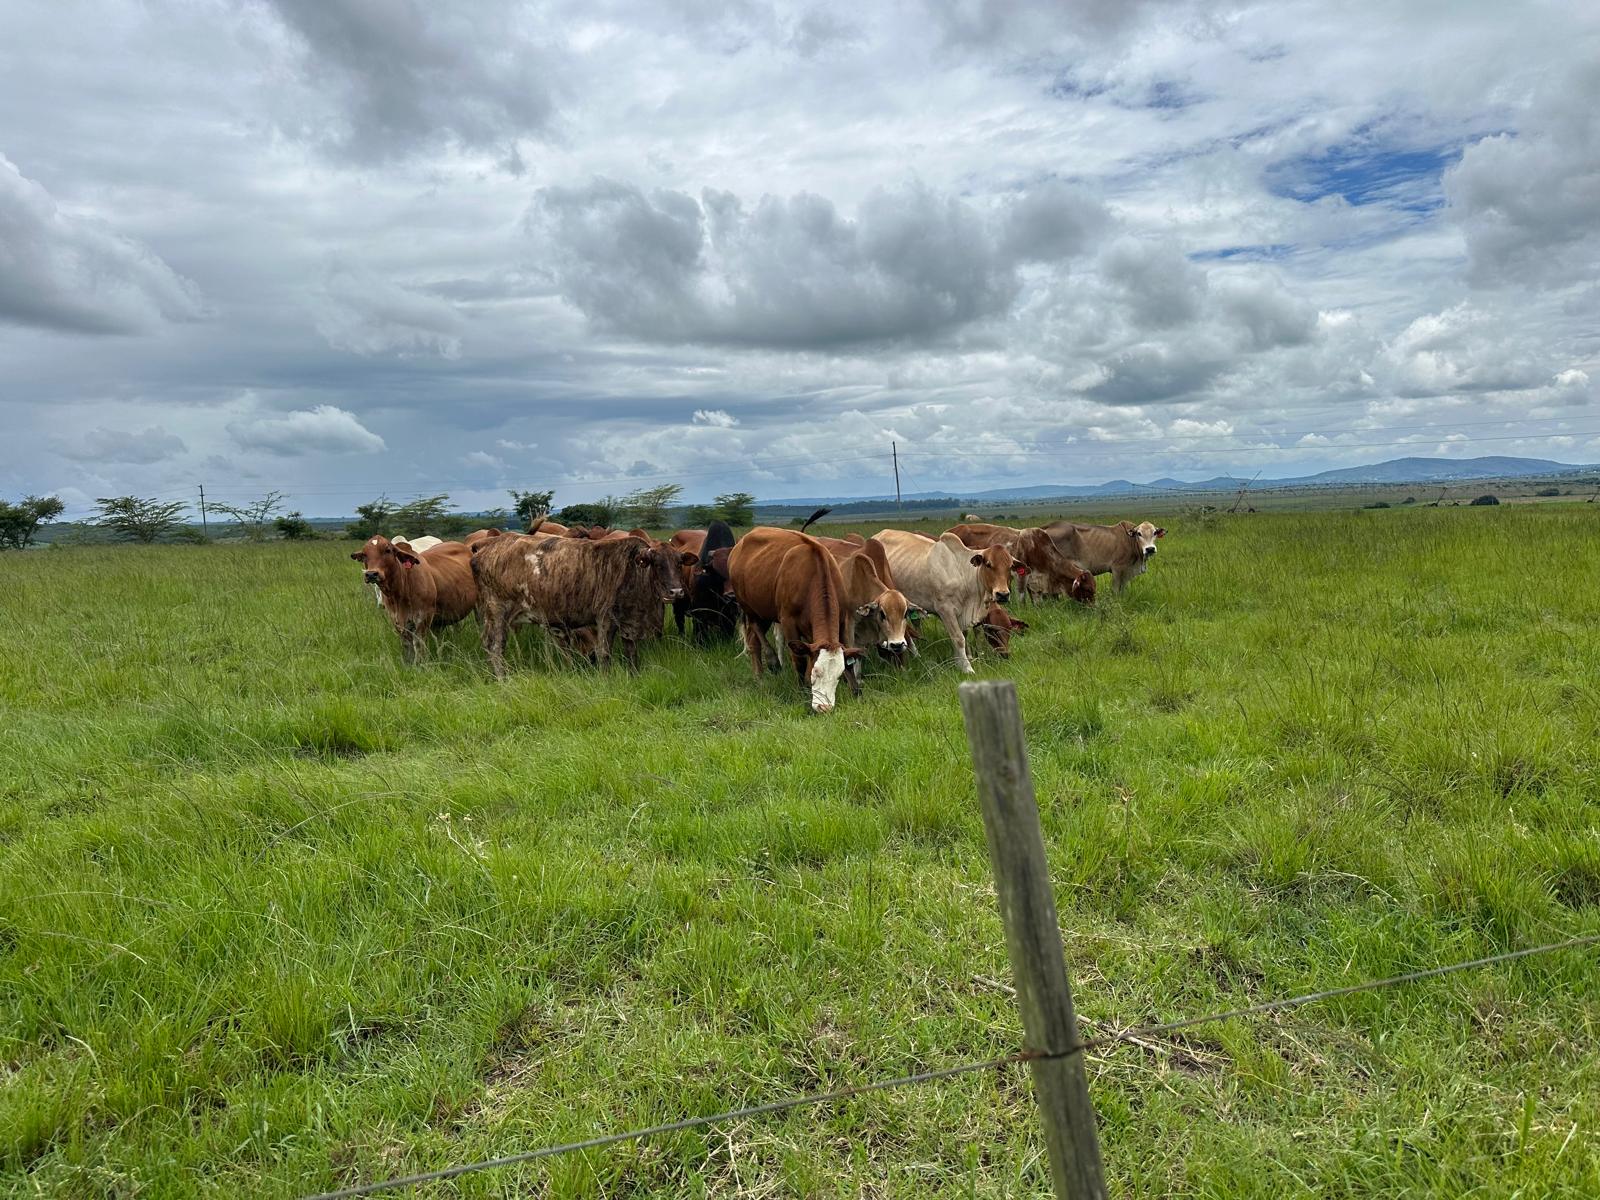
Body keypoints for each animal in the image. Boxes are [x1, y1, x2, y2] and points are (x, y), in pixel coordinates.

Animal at [471, 533, 685, 677]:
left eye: (679, 564)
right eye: (657, 564)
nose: (676, 591)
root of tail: (484, 549)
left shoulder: (629, 623)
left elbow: (631, 652)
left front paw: (634, 676)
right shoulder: (605, 617)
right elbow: (604, 653)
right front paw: (606, 680)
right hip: (496, 612)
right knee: (495, 646)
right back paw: (502, 678)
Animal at [727, 527, 863, 714]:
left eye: (838, 675)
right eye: (816, 672)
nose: (824, 708)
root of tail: (742, 540)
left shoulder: (842, 619)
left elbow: (848, 655)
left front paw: (855, 690)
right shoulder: (788, 622)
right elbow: (799, 660)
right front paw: (801, 691)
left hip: (764, 610)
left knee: (754, 641)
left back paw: (759, 676)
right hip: (748, 606)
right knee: (755, 627)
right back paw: (770, 663)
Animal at [874, 530, 1018, 673]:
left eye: (1010, 566)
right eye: (988, 564)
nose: (1003, 594)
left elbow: (966, 634)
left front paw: (967, 658)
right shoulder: (946, 610)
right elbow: (959, 638)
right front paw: (966, 667)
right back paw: (915, 654)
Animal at [947, 523, 1095, 606]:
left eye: (1094, 588)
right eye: (1087, 589)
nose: (1094, 608)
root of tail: (949, 531)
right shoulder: (1022, 576)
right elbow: (1022, 598)